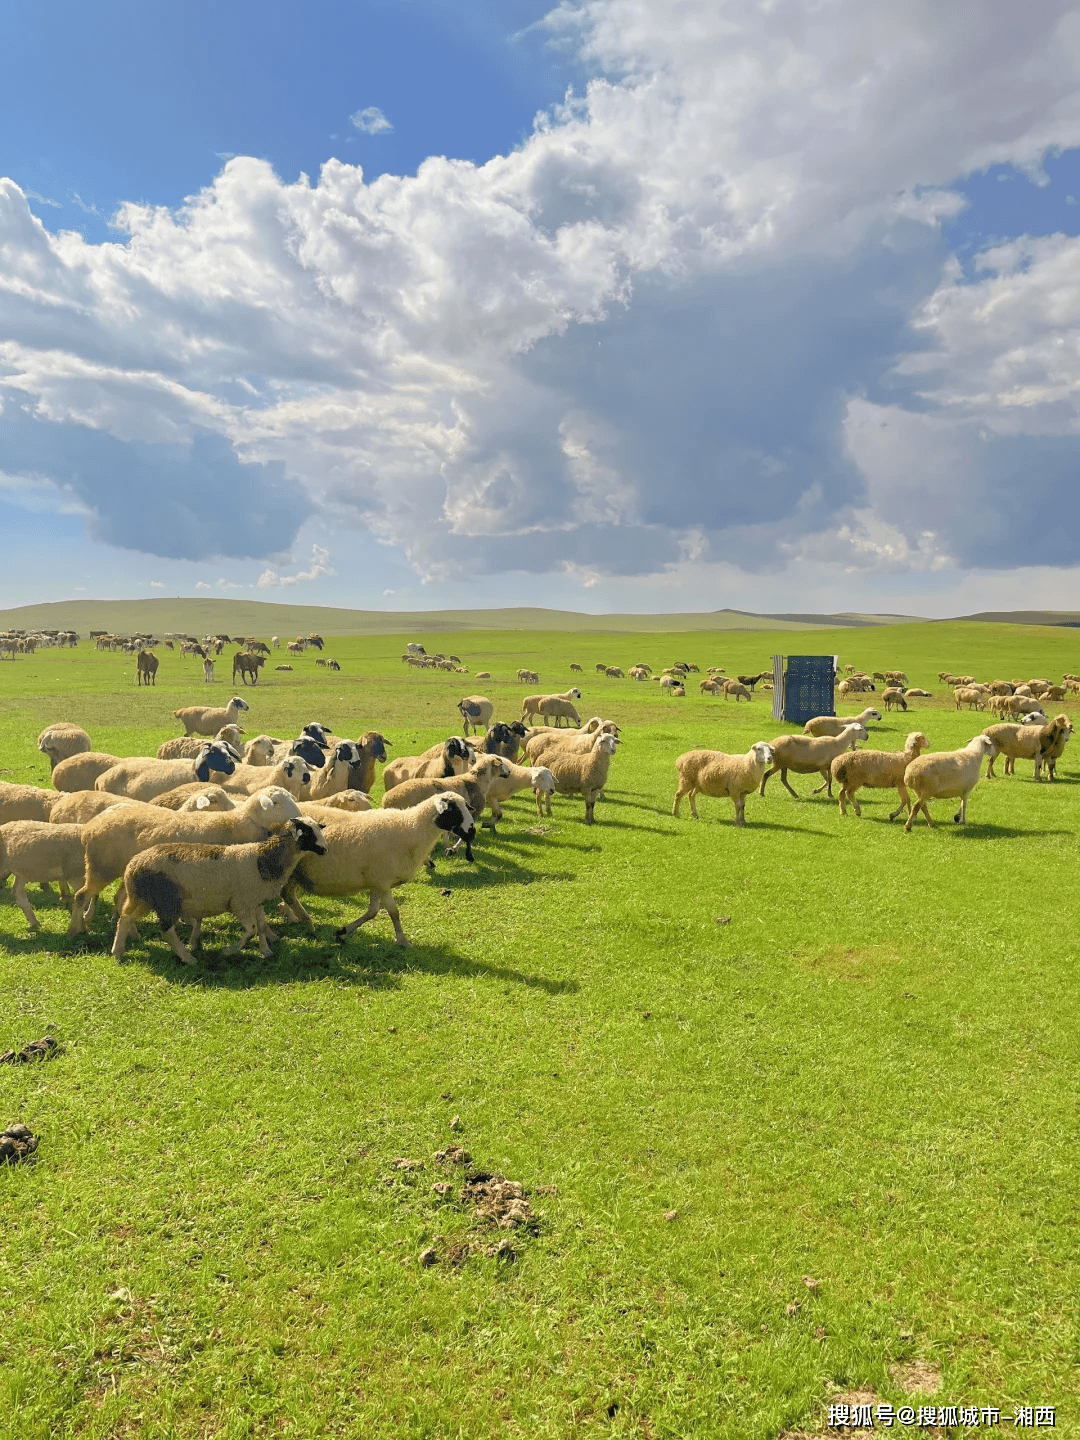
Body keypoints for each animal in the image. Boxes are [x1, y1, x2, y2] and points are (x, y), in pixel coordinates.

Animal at [70, 789, 305, 933]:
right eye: (275, 802)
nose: (300, 817)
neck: (237, 822)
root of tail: (91, 828)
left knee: (119, 900)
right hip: (101, 867)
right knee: (81, 896)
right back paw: (78, 929)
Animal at [112, 817, 329, 961]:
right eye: (308, 833)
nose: (325, 849)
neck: (264, 859)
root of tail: (133, 865)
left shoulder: (257, 901)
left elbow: (260, 926)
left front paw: (265, 950)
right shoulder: (238, 904)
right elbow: (250, 929)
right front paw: (230, 950)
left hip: (144, 899)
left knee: (126, 918)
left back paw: (120, 948)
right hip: (165, 901)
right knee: (165, 930)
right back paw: (186, 957)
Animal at [280, 789, 480, 944]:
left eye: (466, 807)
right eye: (453, 810)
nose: (472, 831)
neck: (411, 828)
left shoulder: (376, 883)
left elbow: (372, 912)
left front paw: (343, 932)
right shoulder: (382, 881)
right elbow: (394, 912)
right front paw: (402, 941)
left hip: (294, 874)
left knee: (287, 896)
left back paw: (295, 918)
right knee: (287, 896)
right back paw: (305, 921)